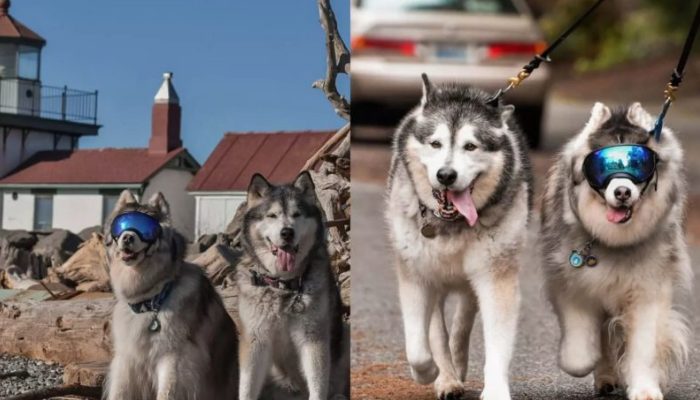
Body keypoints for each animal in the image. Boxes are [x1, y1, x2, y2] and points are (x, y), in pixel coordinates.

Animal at [104, 191, 239, 400]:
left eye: (146, 228)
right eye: (121, 226)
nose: (127, 238)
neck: (152, 299)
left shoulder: (174, 358)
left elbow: (166, 393)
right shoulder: (127, 359)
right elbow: (118, 392)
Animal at [235, 172, 348, 400]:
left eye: (296, 214)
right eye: (272, 215)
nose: (287, 232)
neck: (282, 285)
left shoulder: (314, 338)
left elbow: (318, 385)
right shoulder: (255, 340)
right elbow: (247, 387)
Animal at [388, 73, 532, 398]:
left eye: (471, 146)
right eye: (435, 143)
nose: (446, 175)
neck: (451, 224)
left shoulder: (496, 278)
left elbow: (496, 342)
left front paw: (495, 389)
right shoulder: (417, 274)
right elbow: (419, 346)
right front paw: (430, 372)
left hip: (470, 281)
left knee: (462, 322)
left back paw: (457, 366)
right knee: (437, 330)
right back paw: (446, 377)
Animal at [540, 101, 688, 398]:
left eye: (639, 164)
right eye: (602, 166)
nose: (622, 192)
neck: (615, 241)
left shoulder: (647, 289)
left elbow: (643, 345)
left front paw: (644, 387)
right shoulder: (573, 287)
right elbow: (578, 357)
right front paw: (591, 361)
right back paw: (606, 377)